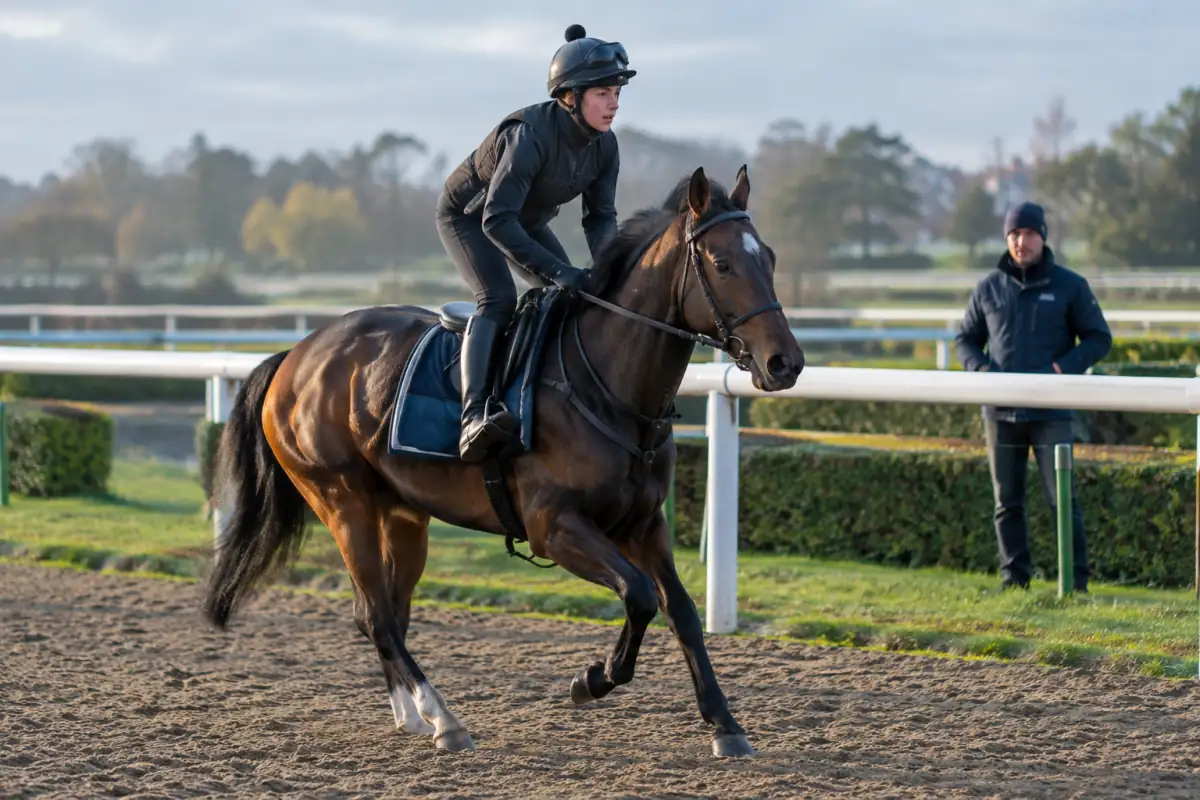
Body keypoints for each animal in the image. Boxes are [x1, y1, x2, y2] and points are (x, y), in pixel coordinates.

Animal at [199, 165, 805, 759]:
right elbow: (637, 595)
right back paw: (444, 719)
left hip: (402, 513)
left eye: (772, 259)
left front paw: (725, 724)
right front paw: (592, 679)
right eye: (723, 264)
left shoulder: (644, 523)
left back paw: (412, 715)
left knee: (385, 610)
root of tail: (295, 355)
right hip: (340, 499)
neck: (605, 385)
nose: (785, 362)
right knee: (375, 613)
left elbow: (681, 610)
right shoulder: (553, 527)